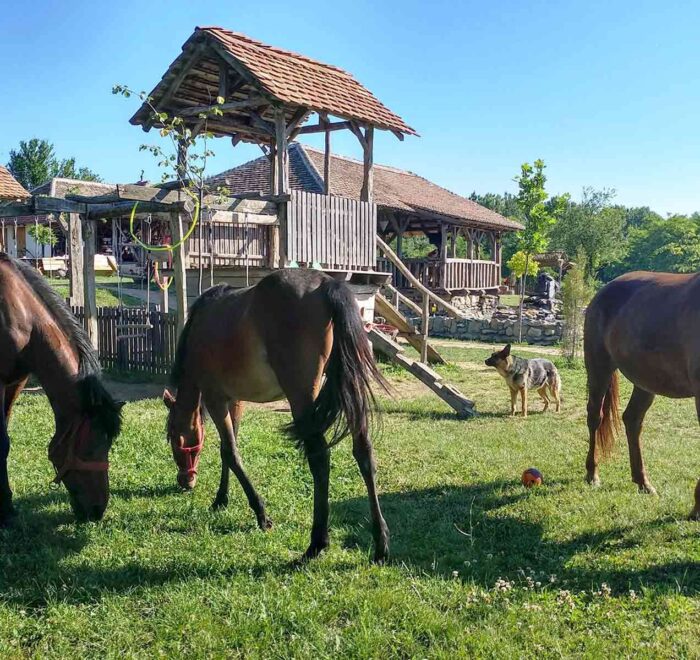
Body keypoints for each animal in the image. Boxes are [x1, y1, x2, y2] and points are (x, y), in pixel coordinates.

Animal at [165, 268, 394, 564]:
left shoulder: (216, 399)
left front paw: (260, 514)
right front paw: (221, 499)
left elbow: (230, 453)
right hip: (350, 390)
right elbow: (228, 449)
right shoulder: (235, 401)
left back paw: (317, 544)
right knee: (364, 452)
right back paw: (380, 544)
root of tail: (327, 285)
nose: (185, 481)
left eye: (173, 438)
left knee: (320, 458)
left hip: (301, 396)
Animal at [584, 270, 700, 520]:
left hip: (645, 382)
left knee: (632, 420)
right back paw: (592, 474)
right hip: (599, 368)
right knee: (595, 418)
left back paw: (643, 482)